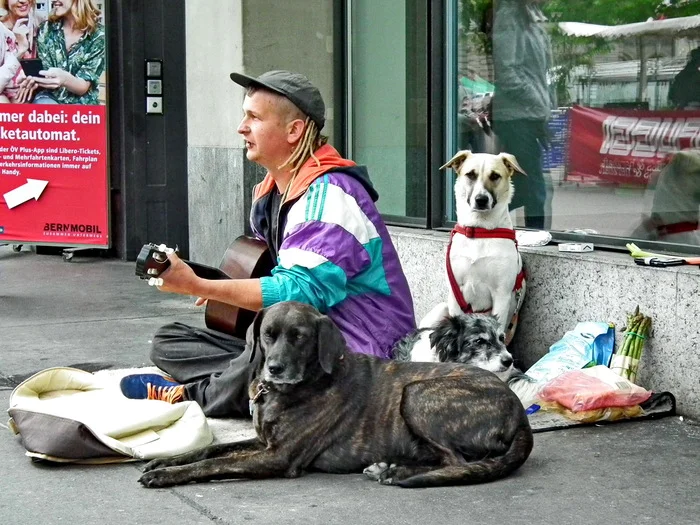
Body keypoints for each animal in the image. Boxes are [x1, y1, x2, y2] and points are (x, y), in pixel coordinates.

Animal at [137, 300, 532, 490]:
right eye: (268, 335)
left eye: (299, 337)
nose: (274, 368)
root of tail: (519, 412)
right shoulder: (262, 442)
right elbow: (211, 450)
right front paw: (164, 462)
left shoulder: (277, 457)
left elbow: (212, 464)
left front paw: (165, 475)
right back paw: (388, 467)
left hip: (417, 393)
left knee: (457, 462)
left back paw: (396, 472)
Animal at [424, 149, 528, 346]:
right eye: (470, 175)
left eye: (495, 176)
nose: (481, 200)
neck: (479, 230)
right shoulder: (455, 292)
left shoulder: (501, 295)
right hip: (440, 309)